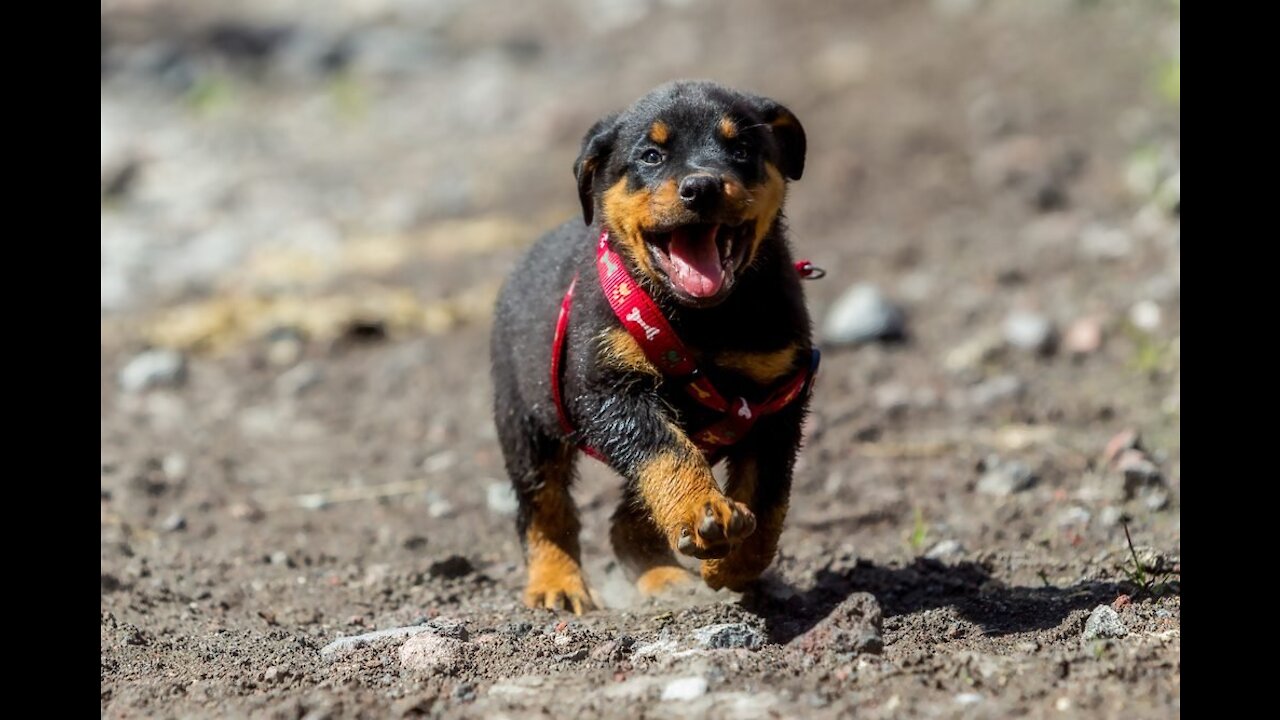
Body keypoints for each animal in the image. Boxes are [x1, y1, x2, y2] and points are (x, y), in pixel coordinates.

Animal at [488, 79, 808, 609]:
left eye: (741, 149)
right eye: (651, 155)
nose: (701, 187)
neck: (703, 322)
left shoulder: (776, 397)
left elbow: (768, 499)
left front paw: (732, 565)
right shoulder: (608, 390)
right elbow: (664, 452)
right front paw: (704, 510)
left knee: (624, 519)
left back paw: (660, 574)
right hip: (522, 420)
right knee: (543, 504)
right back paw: (556, 581)